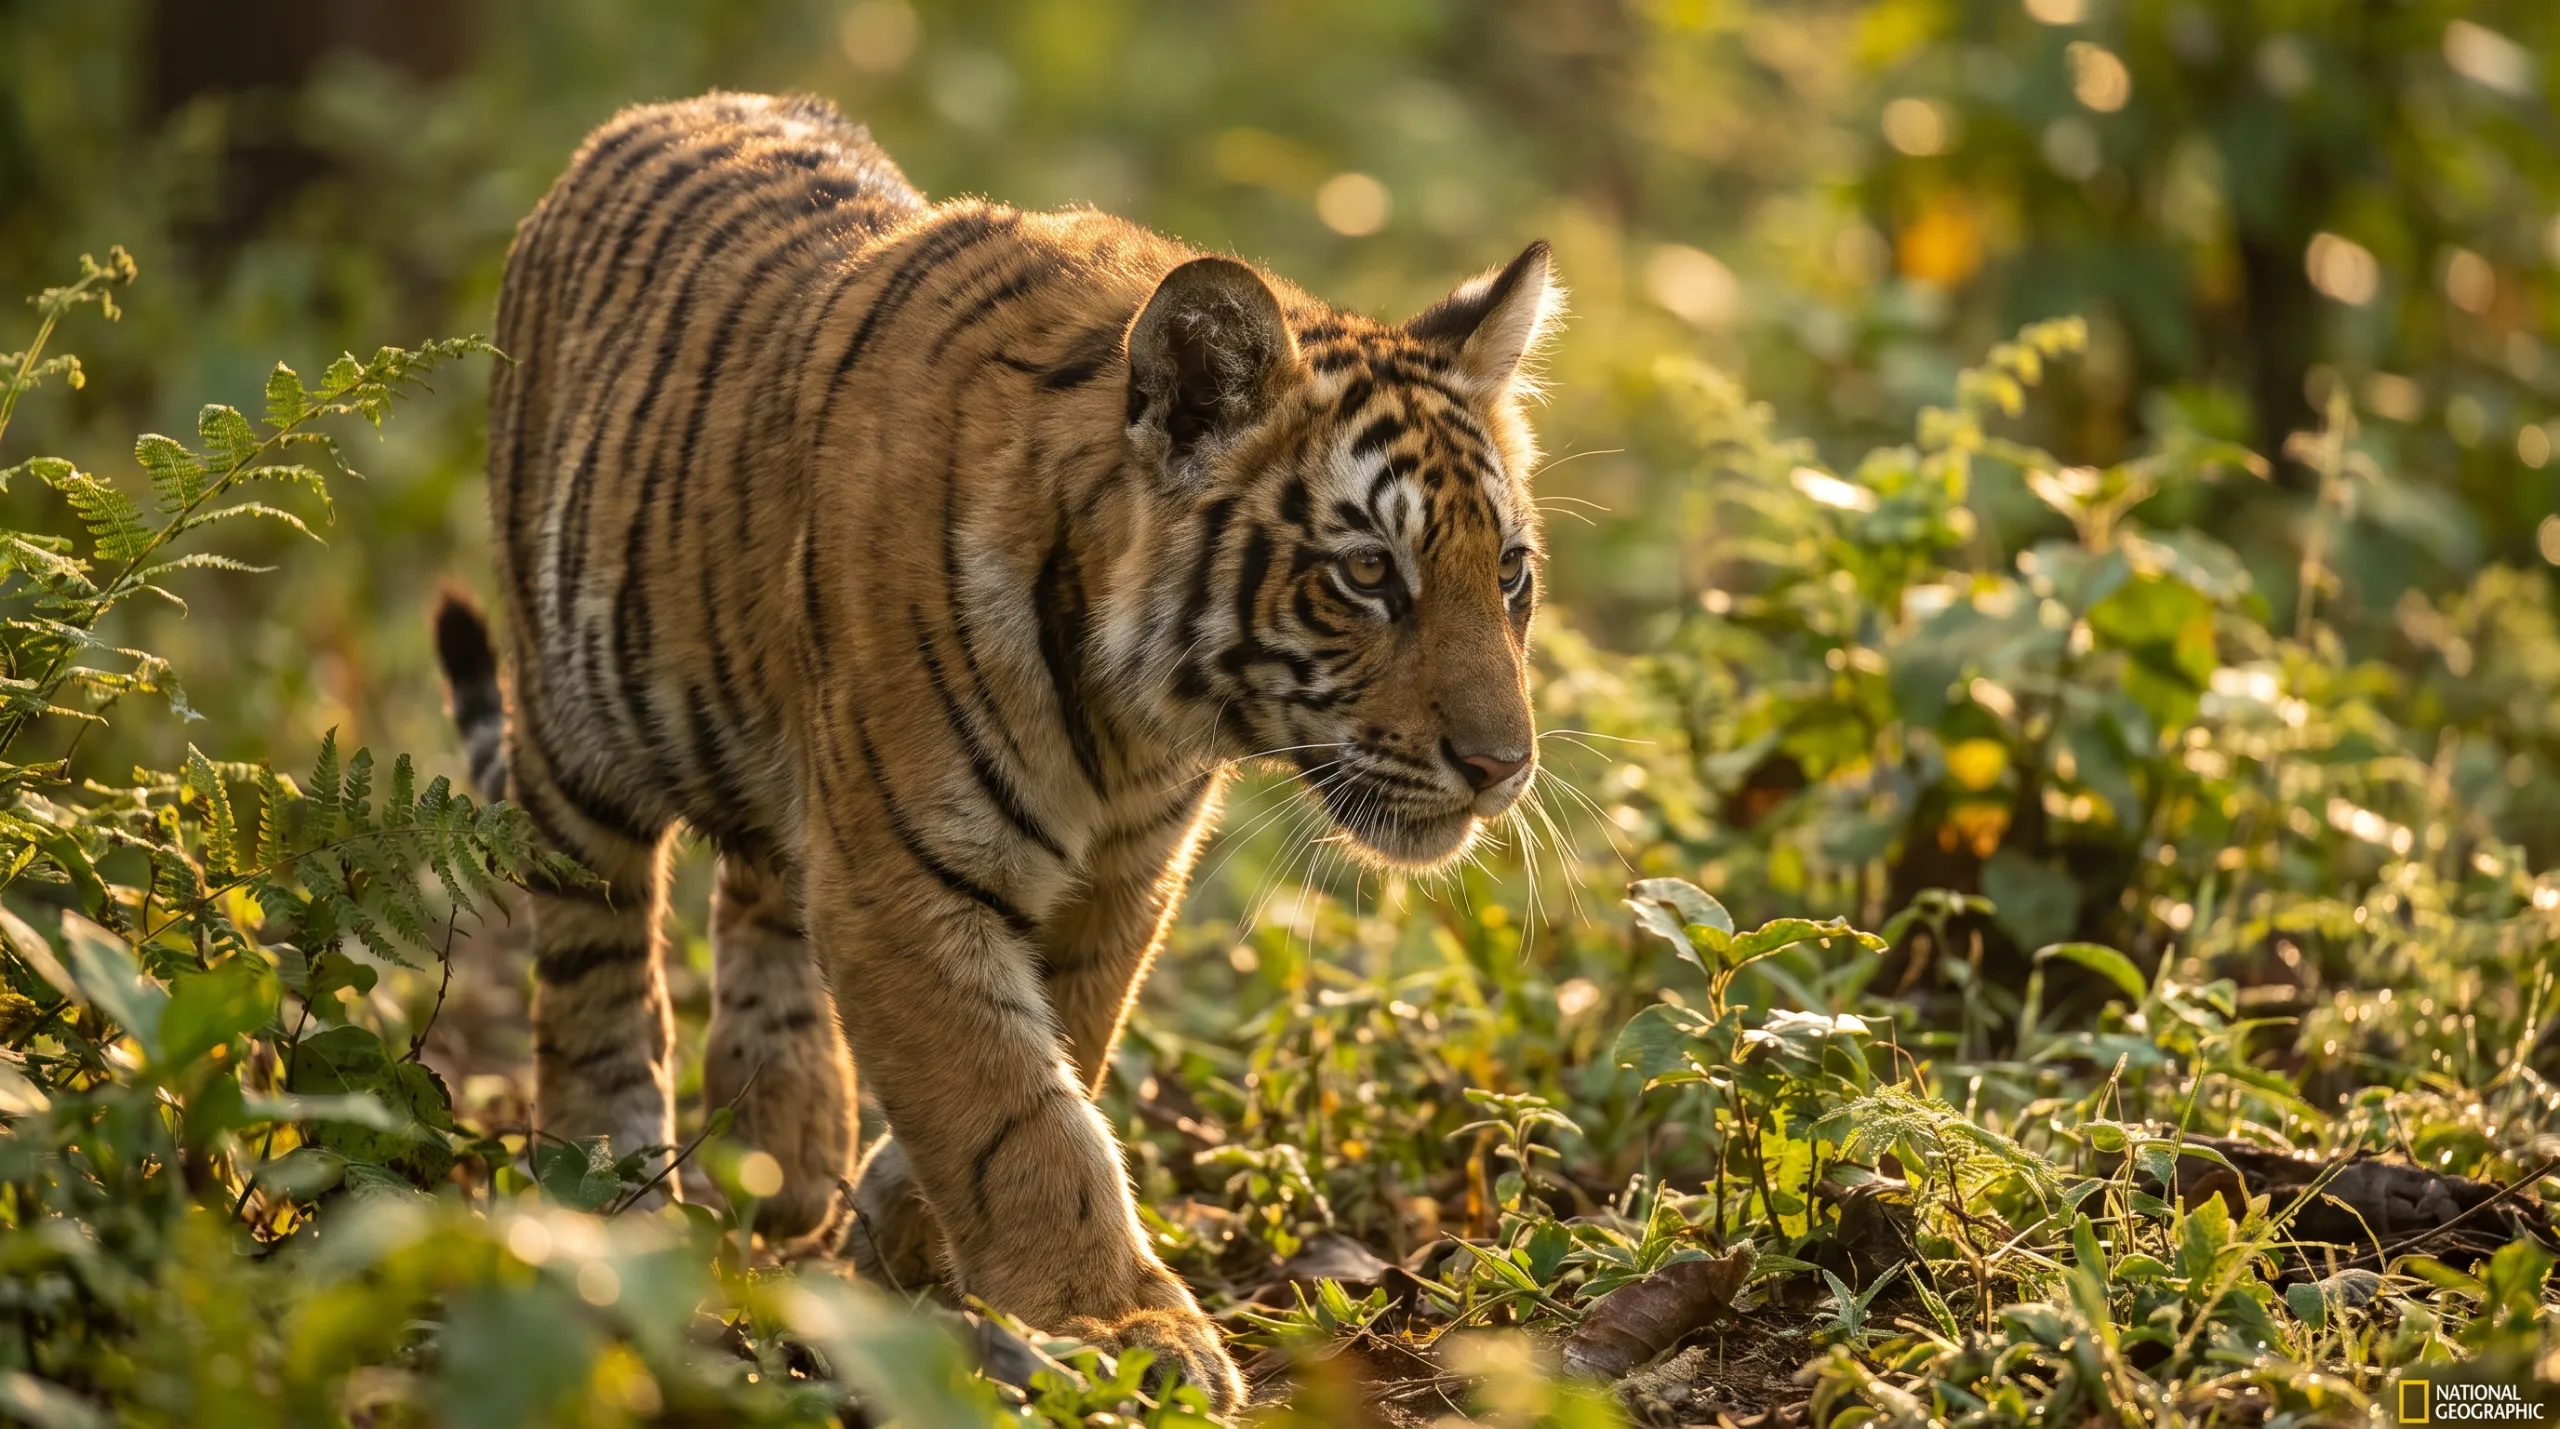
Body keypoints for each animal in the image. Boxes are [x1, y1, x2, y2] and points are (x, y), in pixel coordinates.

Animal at [433, 90, 1558, 1408]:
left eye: (1509, 571)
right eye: (1369, 572)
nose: (1502, 765)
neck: (1139, 717)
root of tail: (658, 110)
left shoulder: (1117, 883)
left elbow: (1056, 1053)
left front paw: (902, 1221)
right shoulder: (904, 878)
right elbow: (1012, 1106)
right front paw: (1129, 1325)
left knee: (763, 888)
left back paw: (786, 1149)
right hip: (577, 732)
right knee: (596, 955)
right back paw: (599, 1193)